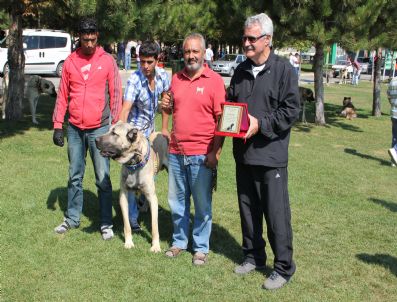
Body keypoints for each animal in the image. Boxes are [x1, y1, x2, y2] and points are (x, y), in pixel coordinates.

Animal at [96, 122, 169, 252]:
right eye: (108, 130)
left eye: (114, 133)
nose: (95, 140)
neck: (134, 163)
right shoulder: (123, 195)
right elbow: (127, 224)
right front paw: (128, 242)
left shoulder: (153, 197)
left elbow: (154, 226)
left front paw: (155, 246)